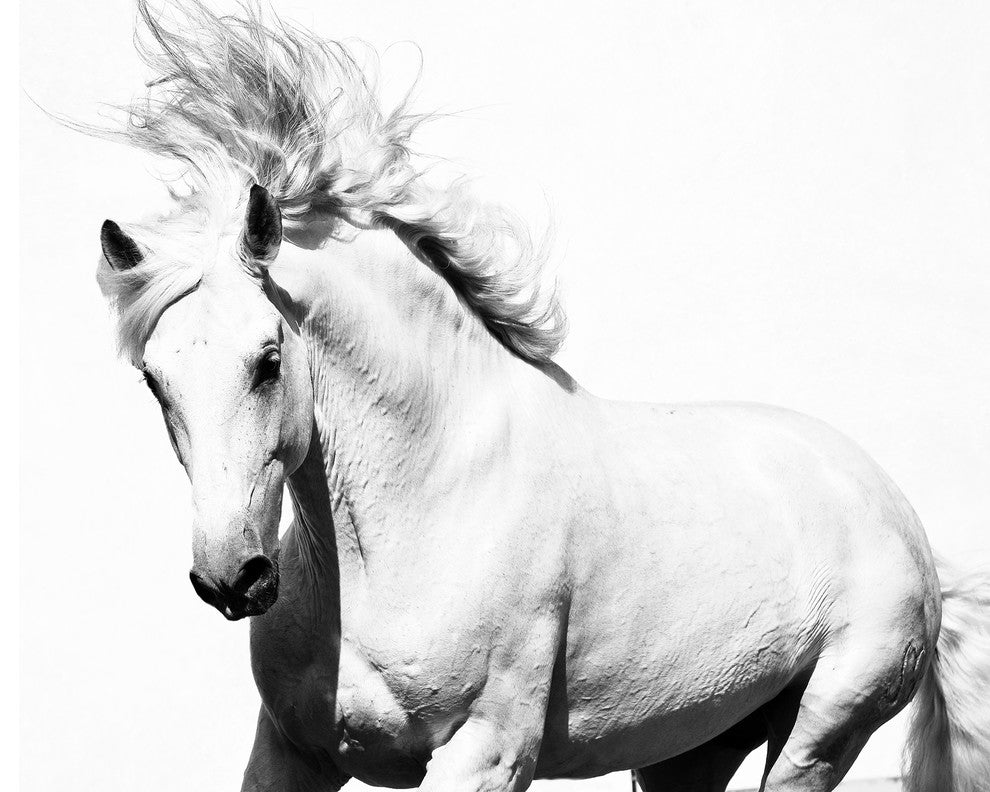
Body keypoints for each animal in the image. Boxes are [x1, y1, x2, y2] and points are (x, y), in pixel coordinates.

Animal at [89, 3, 990, 791]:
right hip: (688, 749)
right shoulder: (293, 753)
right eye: (154, 379)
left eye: (268, 360)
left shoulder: (484, 752)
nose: (230, 577)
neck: (424, 504)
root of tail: (894, 510)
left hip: (821, 732)